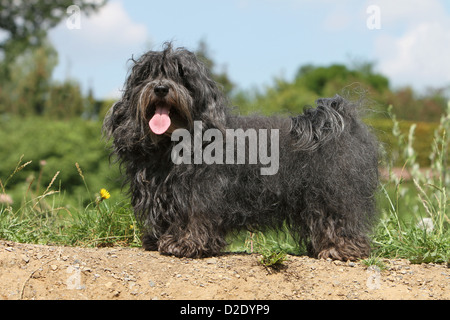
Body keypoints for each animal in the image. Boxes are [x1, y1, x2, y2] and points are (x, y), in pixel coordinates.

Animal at [103, 43, 380, 262]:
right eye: (147, 74)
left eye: (182, 75)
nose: (161, 88)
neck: (172, 144)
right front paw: (156, 239)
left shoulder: (201, 191)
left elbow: (195, 216)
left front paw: (185, 243)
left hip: (331, 191)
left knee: (338, 217)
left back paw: (339, 248)